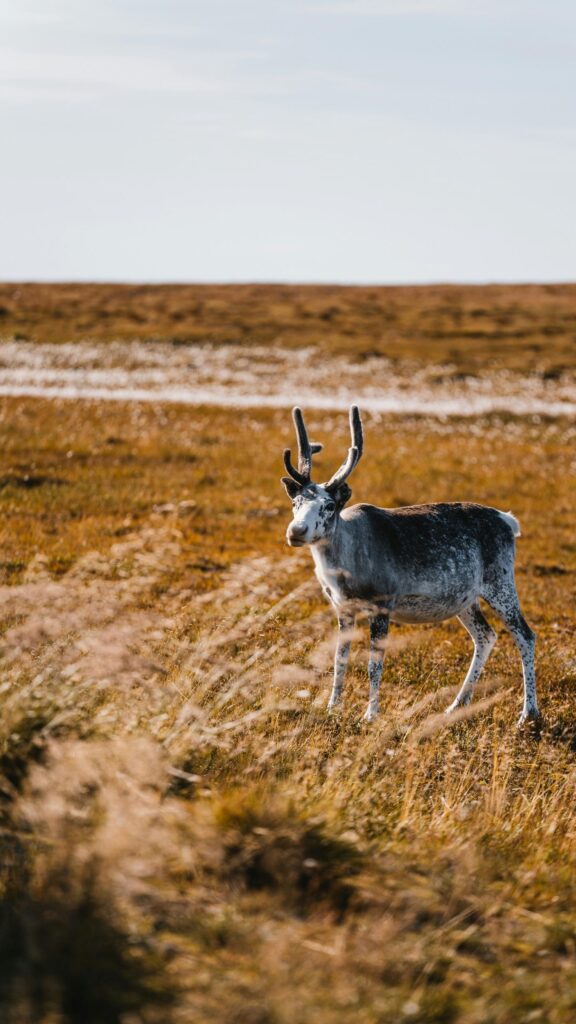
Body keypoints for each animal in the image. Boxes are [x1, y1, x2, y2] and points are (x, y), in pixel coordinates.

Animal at [281, 405, 539, 727]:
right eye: (296, 503)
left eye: (328, 506)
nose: (296, 531)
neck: (344, 570)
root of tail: (508, 521)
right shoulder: (343, 608)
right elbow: (339, 659)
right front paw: (332, 708)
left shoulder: (383, 603)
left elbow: (373, 665)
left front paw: (370, 715)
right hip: (465, 598)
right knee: (485, 635)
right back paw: (456, 705)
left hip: (500, 582)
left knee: (524, 634)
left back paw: (528, 714)